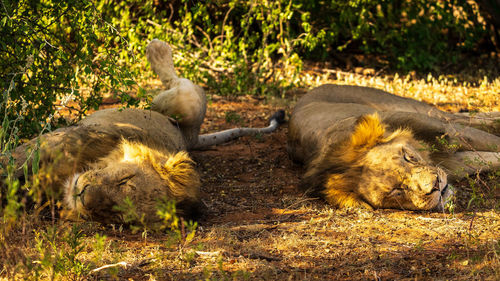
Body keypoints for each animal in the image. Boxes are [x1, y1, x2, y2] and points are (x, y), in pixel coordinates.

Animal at [3, 38, 284, 223]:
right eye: (124, 179)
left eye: (115, 213)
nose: (82, 194)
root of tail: (190, 139)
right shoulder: (58, 140)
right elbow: (11, 161)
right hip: (180, 105)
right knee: (176, 81)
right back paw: (158, 48)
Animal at [288, 85, 500, 210]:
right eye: (397, 191)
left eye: (407, 156)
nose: (436, 186)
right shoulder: (456, 164)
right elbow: (492, 158)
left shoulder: (448, 133)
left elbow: (492, 141)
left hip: (417, 109)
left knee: (466, 118)